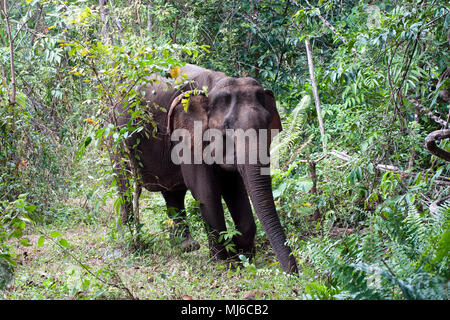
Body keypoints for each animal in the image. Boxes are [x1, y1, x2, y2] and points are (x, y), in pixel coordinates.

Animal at [114, 63, 298, 274]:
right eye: (227, 126)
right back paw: (126, 234)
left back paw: (185, 246)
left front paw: (242, 255)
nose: (293, 274)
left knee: (173, 192)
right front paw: (223, 262)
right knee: (125, 184)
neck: (213, 86)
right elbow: (205, 192)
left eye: (268, 123)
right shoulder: (186, 135)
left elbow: (235, 188)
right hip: (115, 135)